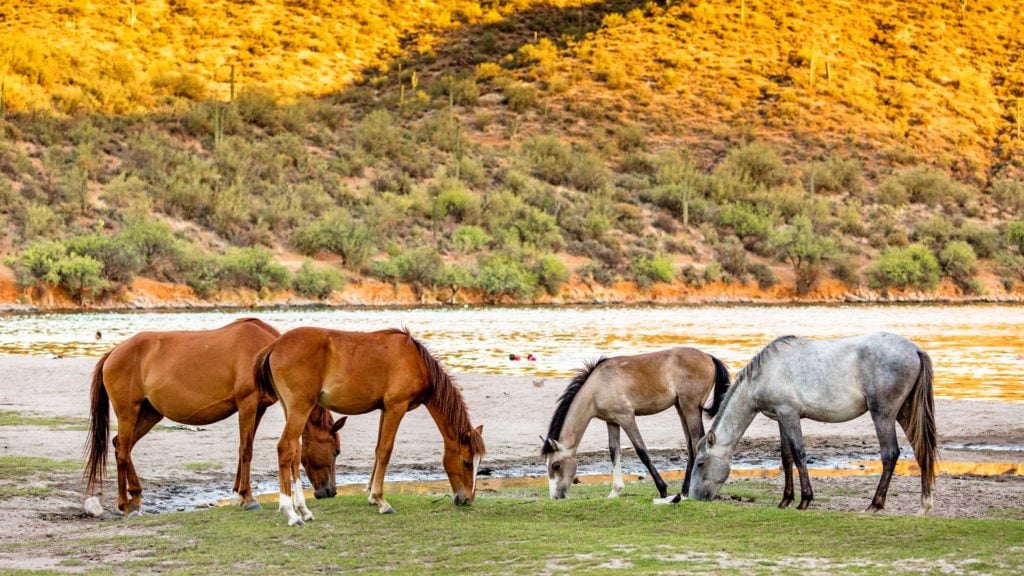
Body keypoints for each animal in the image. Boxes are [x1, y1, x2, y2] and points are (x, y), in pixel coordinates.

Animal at [83, 317, 344, 516]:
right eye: (335, 450)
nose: (330, 492)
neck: (265, 350)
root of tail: (114, 352)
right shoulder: (247, 404)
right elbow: (247, 450)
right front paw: (249, 499)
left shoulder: (257, 408)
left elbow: (243, 449)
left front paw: (238, 495)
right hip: (129, 412)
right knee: (122, 451)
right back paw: (124, 505)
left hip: (150, 413)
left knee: (120, 446)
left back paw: (135, 498)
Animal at [251, 325, 483, 522]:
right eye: (467, 462)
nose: (467, 499)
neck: (415, 360)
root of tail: (275, 345)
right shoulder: (396, 408)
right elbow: (386, 451)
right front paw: (381, 501)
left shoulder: (384, 410)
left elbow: (378, 449)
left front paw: (372, 496)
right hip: (300, 408)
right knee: (286, 448)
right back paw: (290, 513)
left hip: (291, 410)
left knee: (295, 452)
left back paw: (303, 510)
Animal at [540, 344, 733, 502]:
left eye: (556, 465)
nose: (555, 496)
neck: (598, 386)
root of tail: (708, 356)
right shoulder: (612, 422)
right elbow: (614, 451)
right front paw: (615, 492)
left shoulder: (627, 418)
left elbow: (642, 451)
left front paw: (663, 490)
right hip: (681, 408)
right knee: (690, 446)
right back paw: (685, 491)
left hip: (690, 407)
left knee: (696, 442)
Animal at [688, 330, 937, 512]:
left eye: (700, 463)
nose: (693, 498)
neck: (764, 374)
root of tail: (915, 350)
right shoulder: (780, 417)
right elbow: (786, 456)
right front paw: (785, 500)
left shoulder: (789, 414)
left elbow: (799, 454)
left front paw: (804, 500)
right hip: (904, 413)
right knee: (920, 450)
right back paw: (924, 506)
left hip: (882, 414)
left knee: (890, 454)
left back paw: (875, 505)